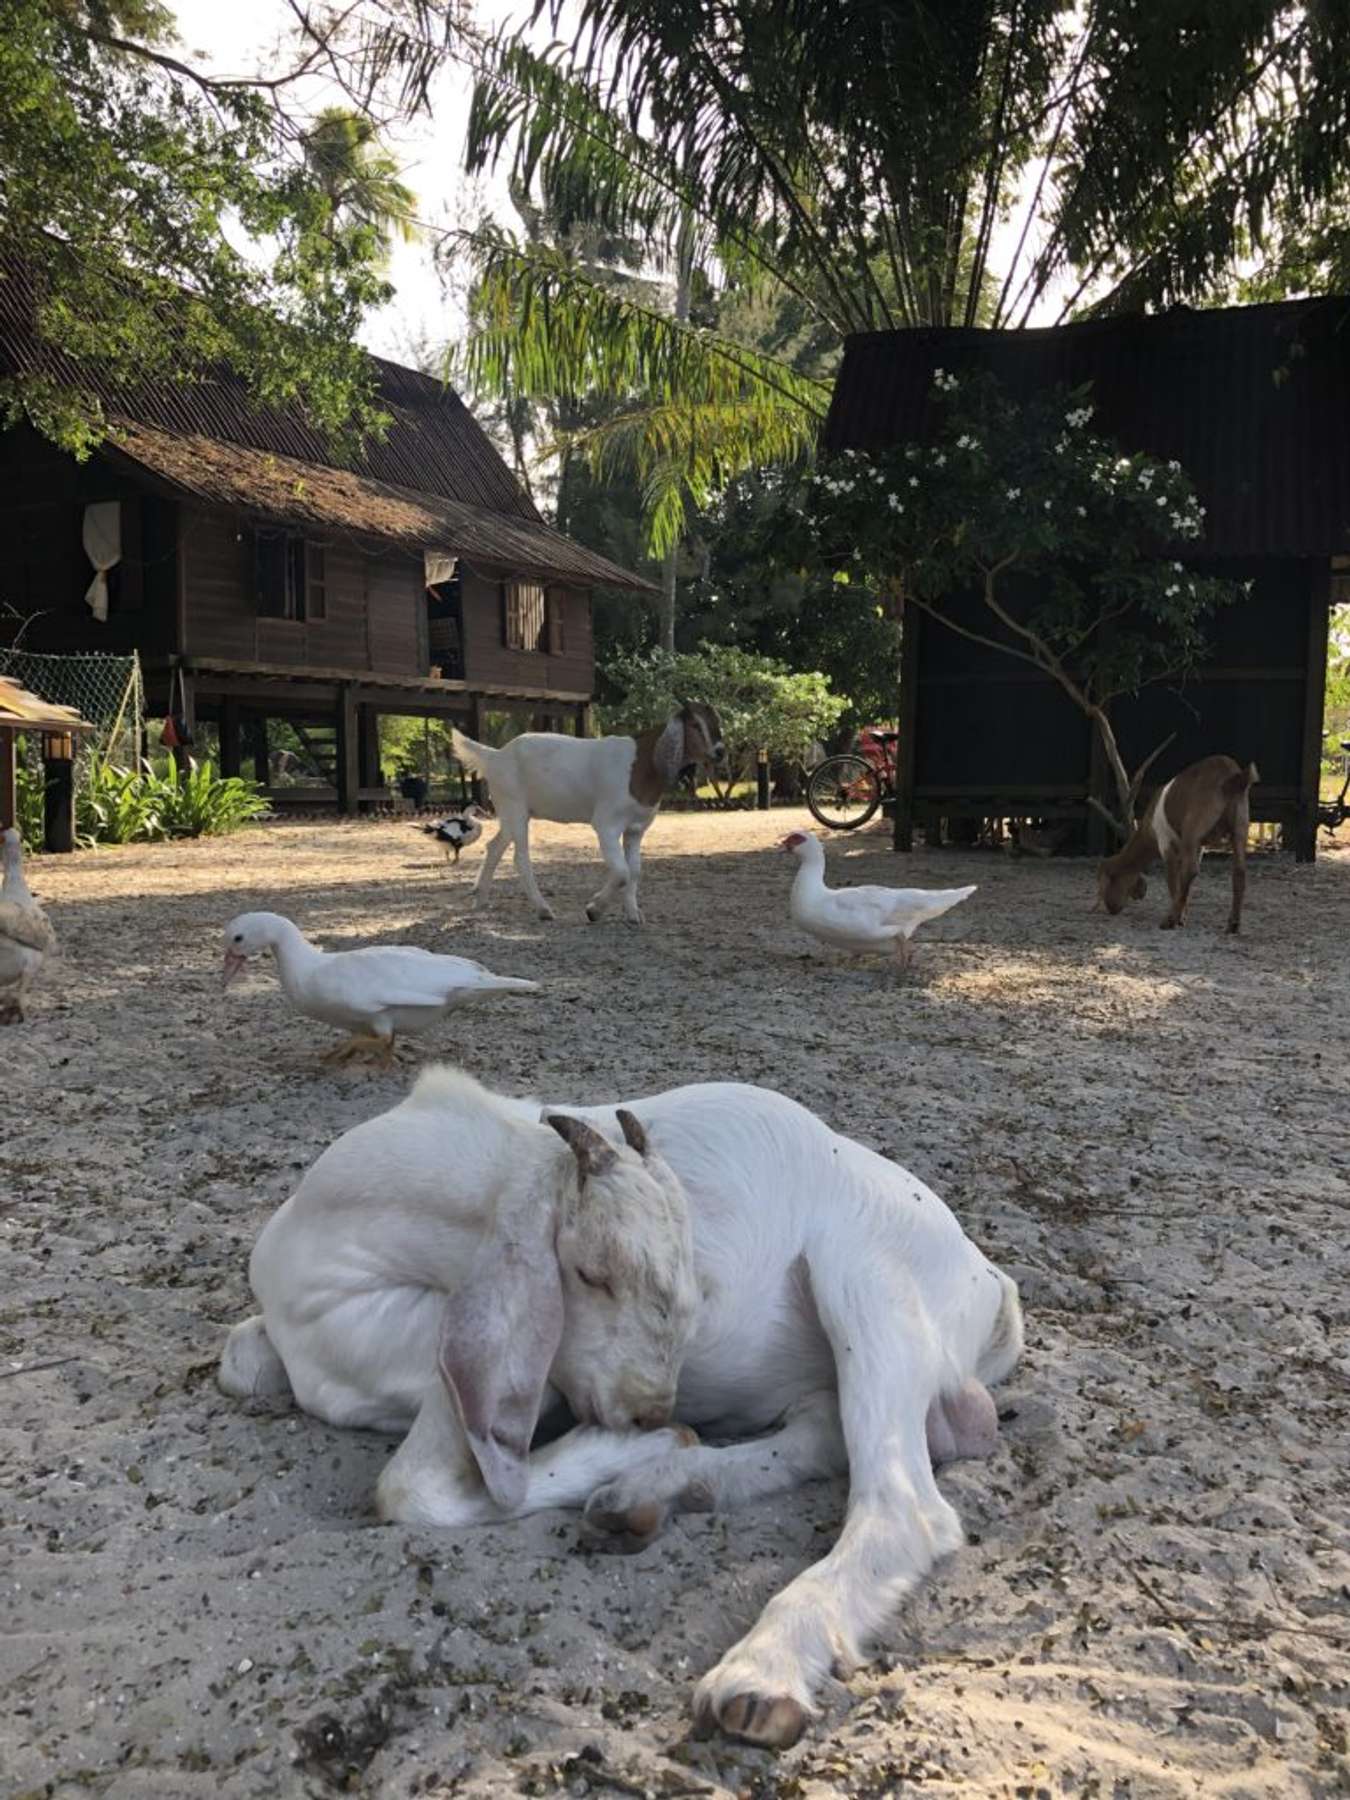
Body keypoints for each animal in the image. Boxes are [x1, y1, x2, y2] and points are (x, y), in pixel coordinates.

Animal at [219, 1058, 1022, 1749]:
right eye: (591, 1272)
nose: (648, 1412)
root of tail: (991, 1282)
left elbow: (408, 1489)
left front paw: (627, 1447)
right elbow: (239, 1362)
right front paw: (648, 1453)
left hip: (869, 1278)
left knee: (904, 1505)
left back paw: (760, 1672)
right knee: (824, 1431)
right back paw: (648, 1495)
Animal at [451, 702, 730, 928]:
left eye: (716, 720)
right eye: (695, 724)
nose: (720, 752)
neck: (640, 765)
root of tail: (496, 756)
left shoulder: (636, 829)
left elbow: (635, 870)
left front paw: (633, 914)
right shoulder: (607, 824)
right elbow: (622, 872)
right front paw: (594, 909)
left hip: (511, 812)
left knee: (494, 846)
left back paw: (481, 900)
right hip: (514, 807)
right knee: (520, 858)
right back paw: (543, 909)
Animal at [1101, 752, 1260, 936]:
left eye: (1112, 878)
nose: (1111, 909)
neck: (1148, 825)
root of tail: (1233, 777)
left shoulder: (1166, 842)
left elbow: (1173, 881)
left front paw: (1178, 918)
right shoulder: (1199, 847)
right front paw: (1183, 916)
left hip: (1193, 828)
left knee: (1190, 870)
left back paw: (1168, 921)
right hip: (1240, 828)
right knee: (1239, 871)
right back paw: (1233, 924)